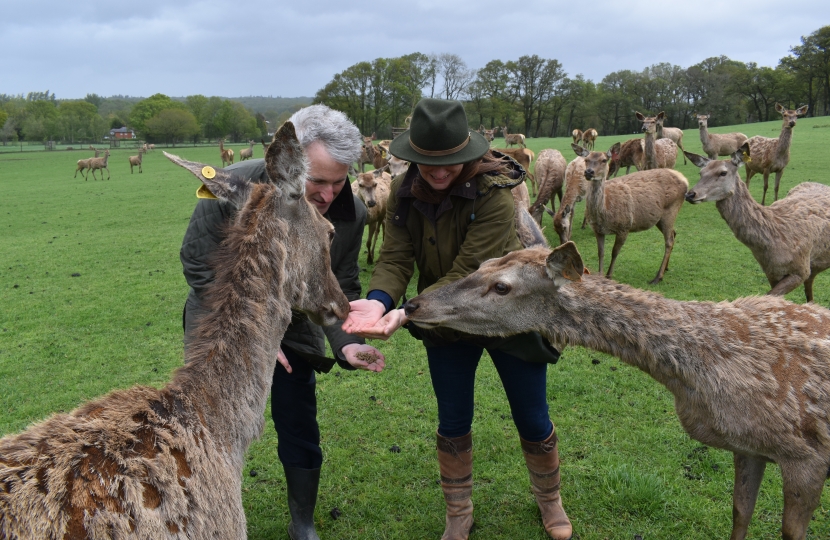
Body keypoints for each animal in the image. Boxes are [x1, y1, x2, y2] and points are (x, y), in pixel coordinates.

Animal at [406, 242, 830, 540]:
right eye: (480, 265)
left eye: (502, 286)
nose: (414, 303)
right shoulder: (751, 447)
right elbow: (740, 513)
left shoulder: (806, 455)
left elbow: (790, 531)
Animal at [580, 142, 688, 286]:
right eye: (586, 160)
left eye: (604, 160)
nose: (589, 172)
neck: (605, 212)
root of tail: (684, 179)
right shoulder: (598, 230)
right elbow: (600, 253)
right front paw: (601, 275)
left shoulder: (624, 227)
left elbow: (614, 252)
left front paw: (609, 276)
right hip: (660, 218)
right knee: (674, 233)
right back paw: (666, 268)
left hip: (671, 210)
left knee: (669, 240)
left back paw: (657, 277)